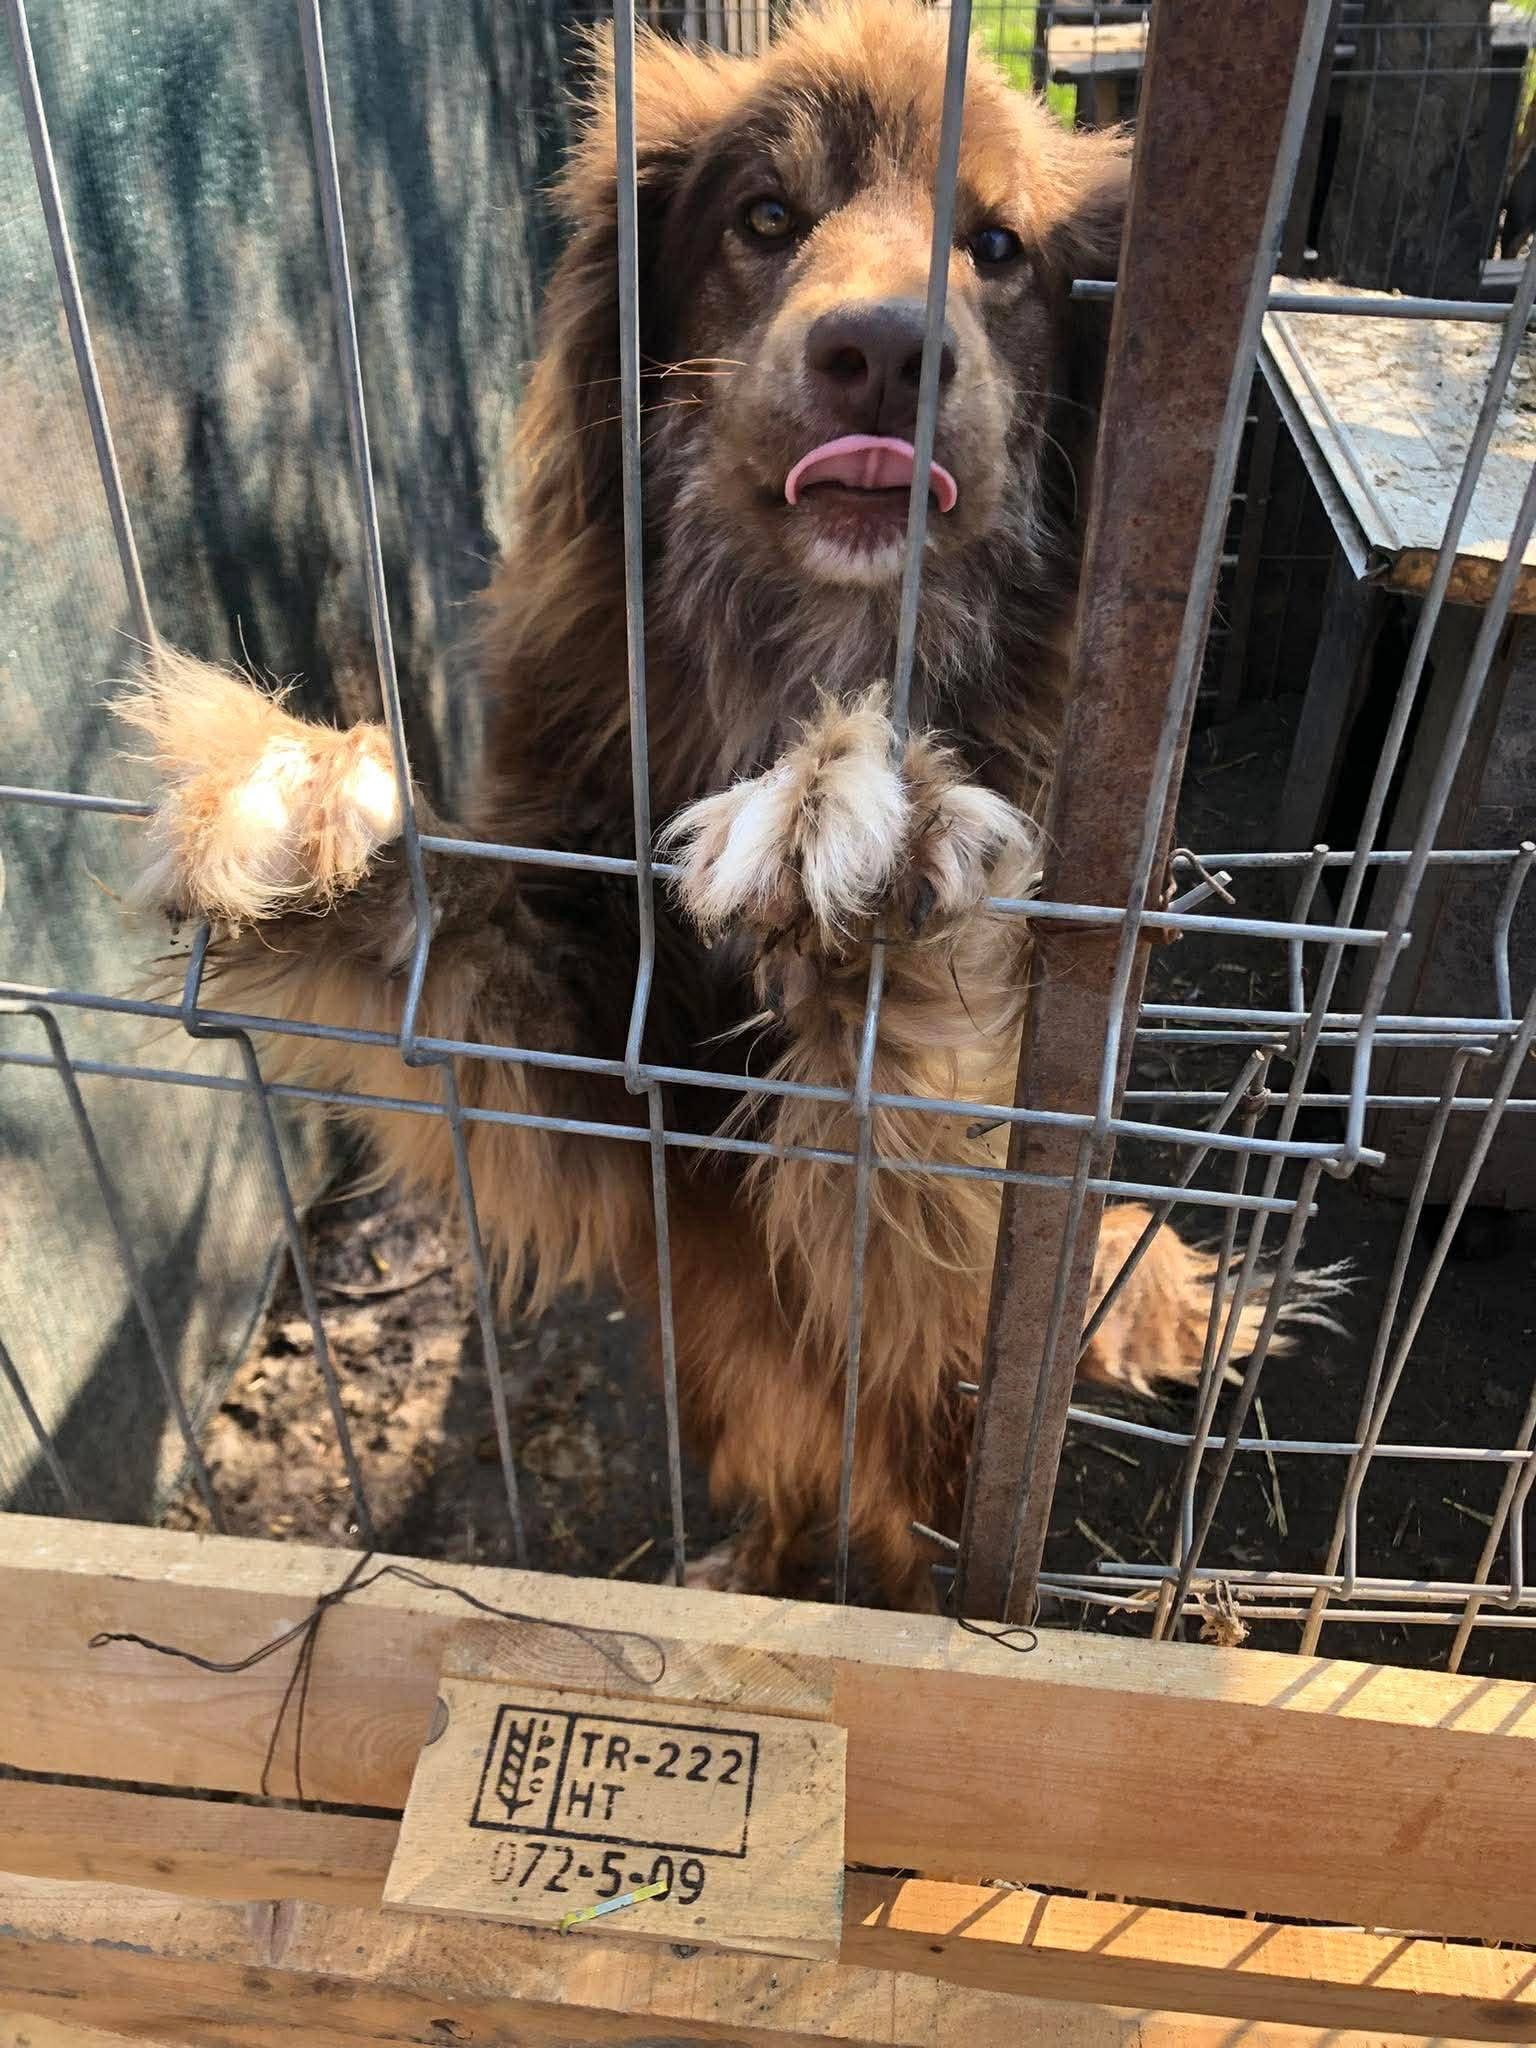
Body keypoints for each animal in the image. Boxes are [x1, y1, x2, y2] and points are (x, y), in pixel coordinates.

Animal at [118, 0, 1301, 1608]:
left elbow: (925, 1099)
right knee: (795, 1486)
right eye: (766, 217)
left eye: (998, 248)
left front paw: (871, 840)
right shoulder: (588, 1082)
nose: (884, 352)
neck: (804, 652)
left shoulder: (968, 1268)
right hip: (726, 1366)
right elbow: (445, 946)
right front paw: (297, 791)